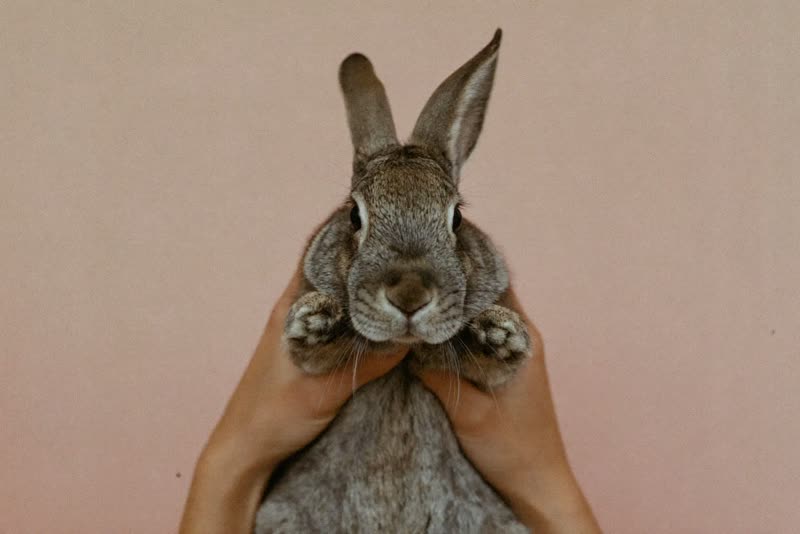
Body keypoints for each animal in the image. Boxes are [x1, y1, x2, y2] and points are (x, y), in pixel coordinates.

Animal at [255, 29, 535, 533]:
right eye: (354, 215)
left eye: (456, 218)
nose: (409, 296)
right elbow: (311, 352)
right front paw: (316, 321)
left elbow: (497, 366)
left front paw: (499, 334)